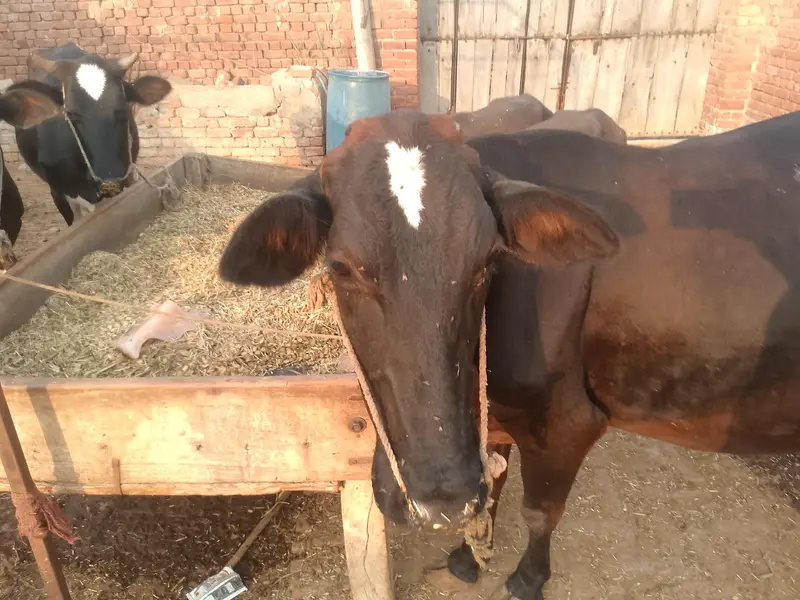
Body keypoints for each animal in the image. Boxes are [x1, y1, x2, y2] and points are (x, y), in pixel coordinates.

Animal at [218, 109, 800, 600]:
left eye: (487, 262)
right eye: (340, 267)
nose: (440, 498)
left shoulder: (568, 421)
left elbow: (539, 509)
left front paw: (527, 578)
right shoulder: (493, 421)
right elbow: (494, 481)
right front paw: (467, 556)